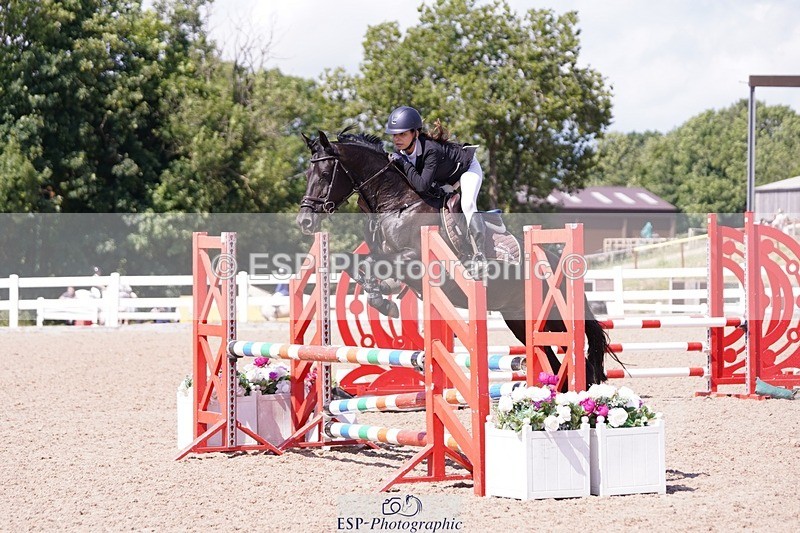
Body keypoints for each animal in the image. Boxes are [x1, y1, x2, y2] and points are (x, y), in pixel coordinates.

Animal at [295, 130, 613, 385]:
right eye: (308, 176)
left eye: (324, 175)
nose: (305, 222)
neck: (396, 204)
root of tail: (557, 260)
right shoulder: (379, 255)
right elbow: (352, 263)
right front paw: (382, 296)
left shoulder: (414, 258)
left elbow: (376, 267)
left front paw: (384, 299)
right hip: (520, 320)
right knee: (554, 362)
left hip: (554, 316)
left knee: (578, 353)